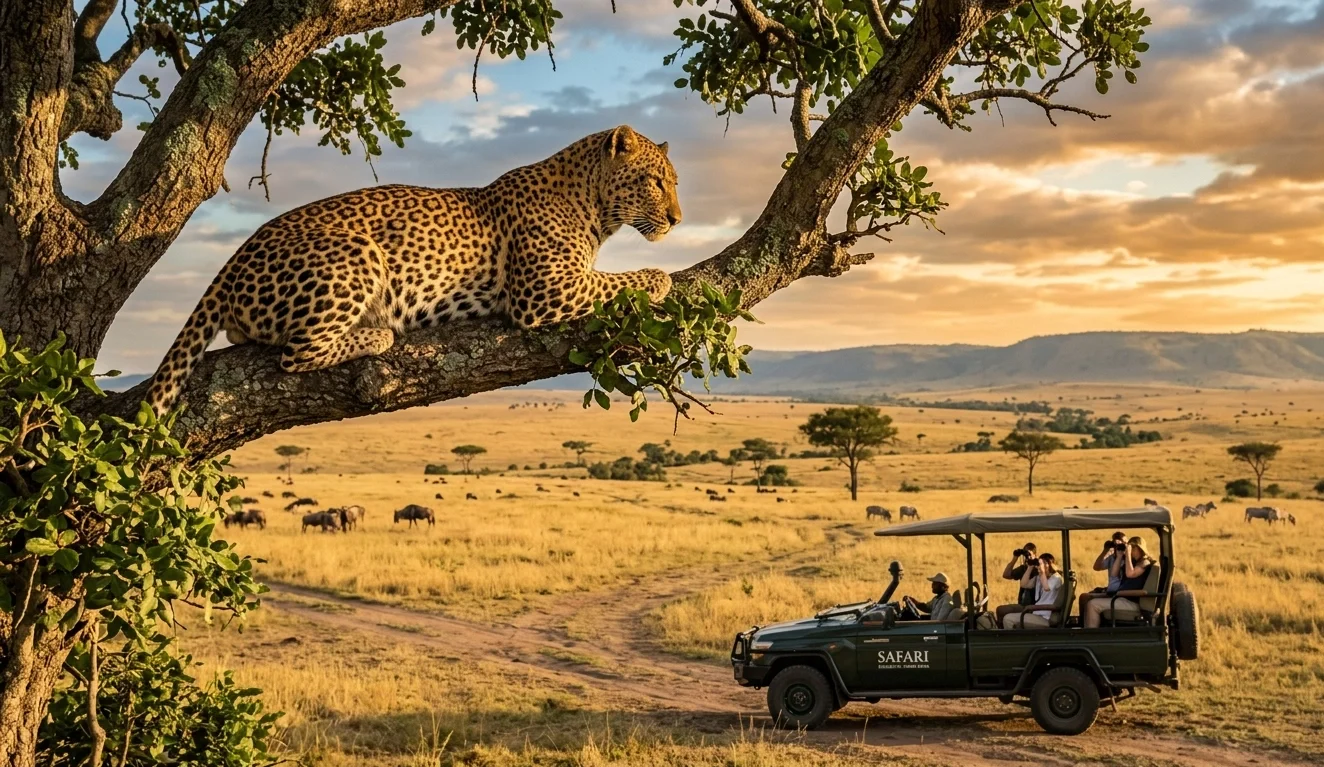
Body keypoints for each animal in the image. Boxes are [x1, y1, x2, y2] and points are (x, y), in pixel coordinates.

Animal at [146, 125, 680, 415]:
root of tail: (234, 258)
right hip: (357, 253)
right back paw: (377, 332)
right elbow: (621, 279)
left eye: (673, 182)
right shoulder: (545, 288)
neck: (597, 208)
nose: (678, 219)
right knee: (296, 354)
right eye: (657, 182)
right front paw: (660, 277)